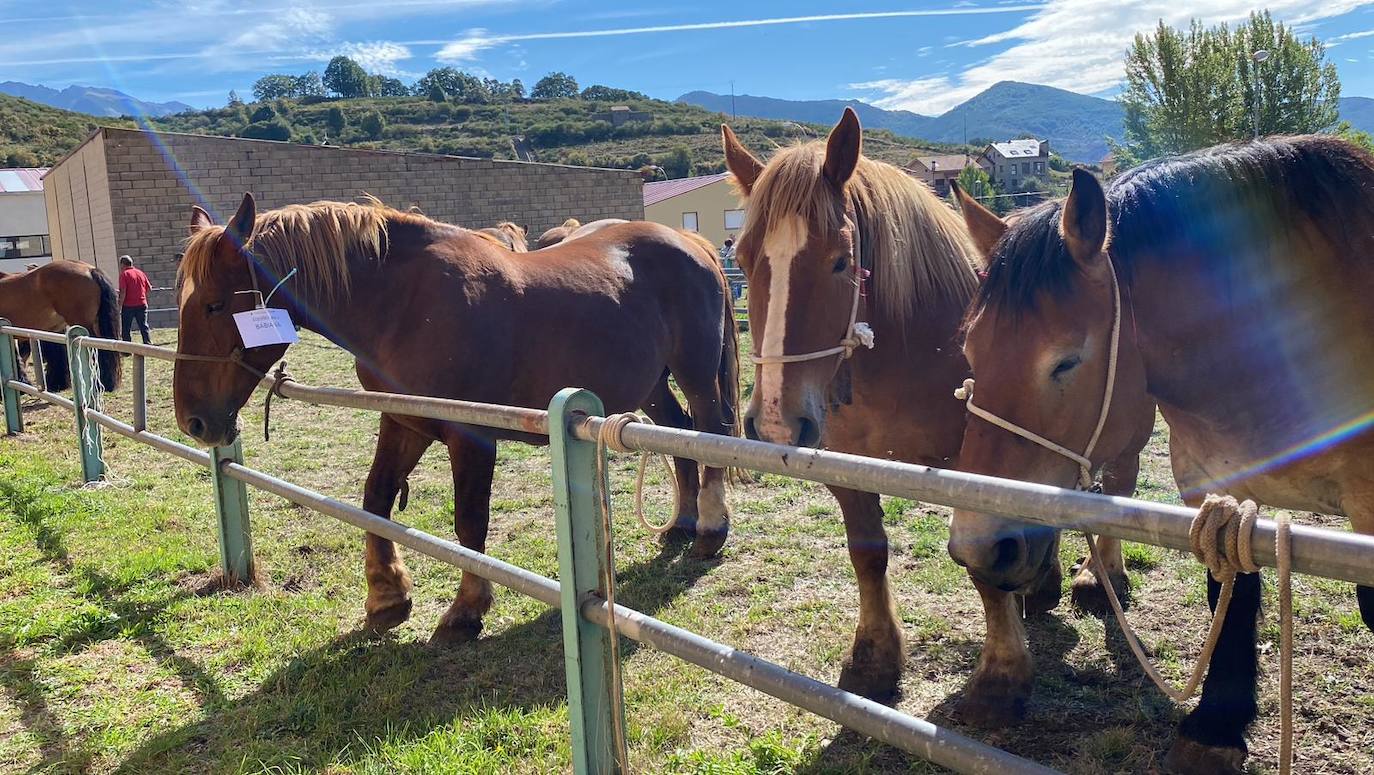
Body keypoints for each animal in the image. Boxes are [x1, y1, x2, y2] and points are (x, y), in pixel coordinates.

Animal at [177, 195, 747, 643]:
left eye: (214, 305)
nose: (193, 423)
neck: (405, 305)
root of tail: (691, 243)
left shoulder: (471, 437)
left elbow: (469, 522)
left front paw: (466, 609)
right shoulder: (403, 423)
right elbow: (376, 499)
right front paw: (387, 597)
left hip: (696, 373)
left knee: (710, 432)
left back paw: (710, 529)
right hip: (651, 384)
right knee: (680, 436)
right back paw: (683, 523)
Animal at [725, 107, 1143, 703]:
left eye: (840, 262)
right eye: (741, 258)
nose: (778, 422)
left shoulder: (979, 470)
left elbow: (984, 568)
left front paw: (1000, 675)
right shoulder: (848, 469)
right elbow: (868, 553)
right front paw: (874, 657)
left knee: (1119, 487)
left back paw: (1098, 576)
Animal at [950, 136, 1374, 769]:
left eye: (1066, 361)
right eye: (971, 351)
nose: (980, 546)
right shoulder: (1213, 489)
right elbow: (1231, 590)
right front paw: (1216, 728)